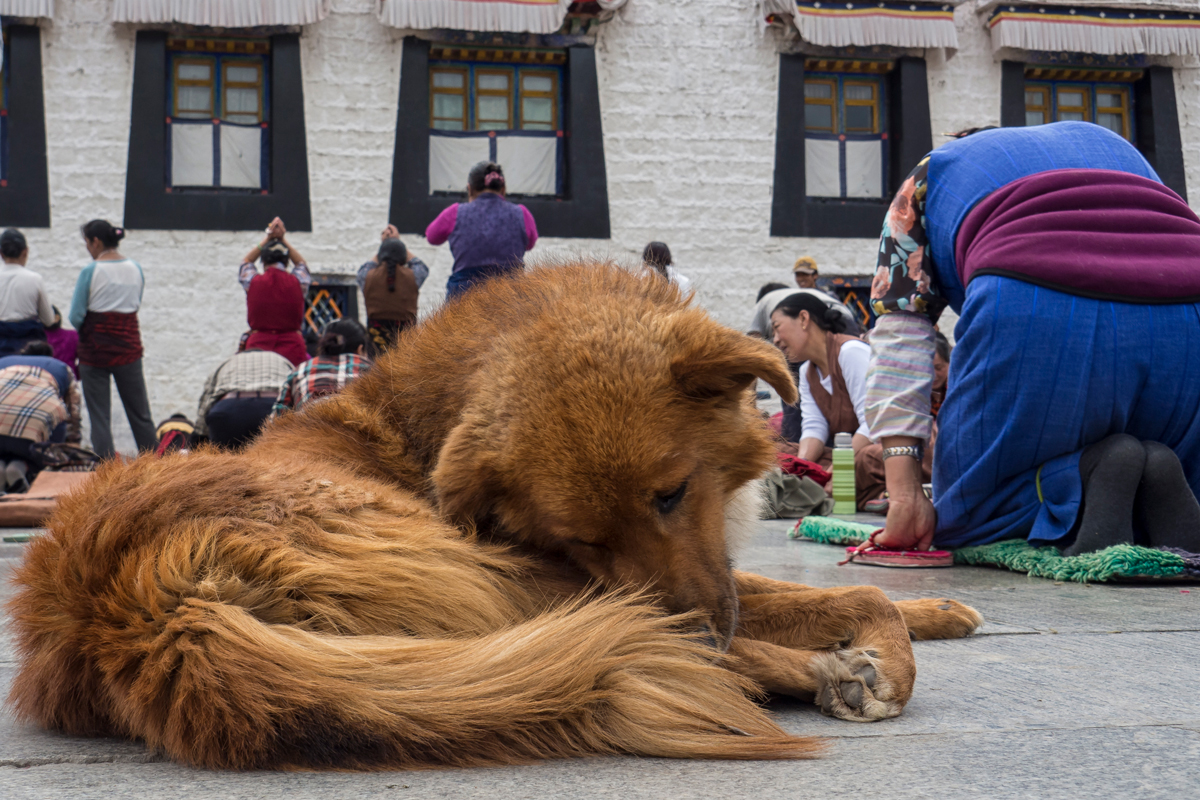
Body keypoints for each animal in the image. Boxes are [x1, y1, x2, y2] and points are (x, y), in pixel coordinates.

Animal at [7, 262, 984, 767]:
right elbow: (842, 600)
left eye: (670, 494)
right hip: (495, 579)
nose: (697, 629)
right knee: (672, 653)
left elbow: (832, 593)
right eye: (583, 537)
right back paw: (826, 673)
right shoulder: (583, 573)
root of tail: (124, 598)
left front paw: (939, 606)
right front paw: (881, 651)